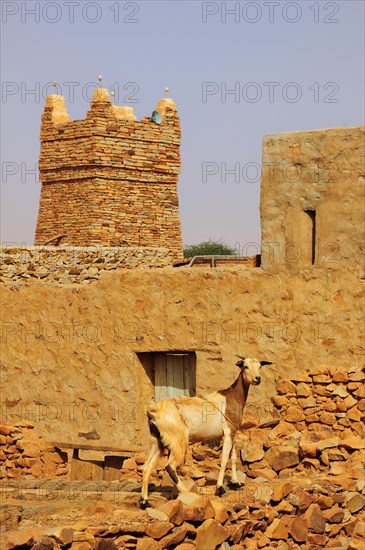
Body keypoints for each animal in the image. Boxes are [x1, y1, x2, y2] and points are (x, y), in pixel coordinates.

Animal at [139, 358, 270, 508]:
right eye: (245, 366)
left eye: (260, 366)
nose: (257, 379)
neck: (230, 397)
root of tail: (154, 411)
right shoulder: (228, 432)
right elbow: (224, 460)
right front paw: (220, 488)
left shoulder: (232, 433)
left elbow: (233, 457)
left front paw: (235, 483)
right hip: (178, 441)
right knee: (170, 466)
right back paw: (187, 492)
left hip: (157, 441)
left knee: (147, 467)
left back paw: (144, 501)